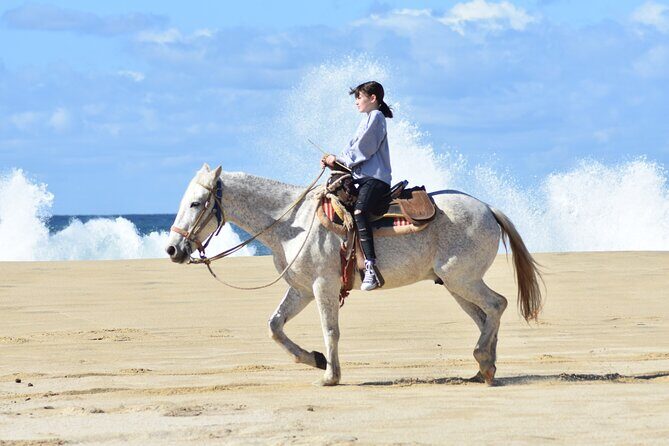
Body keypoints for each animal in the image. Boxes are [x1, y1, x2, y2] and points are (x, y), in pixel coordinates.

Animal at [165, 163, 543, 386]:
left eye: (196, 203)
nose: (172, 249)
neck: (293, 223)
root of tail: (487, 208)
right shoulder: (301, 289)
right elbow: (274, 326)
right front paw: (314, 360)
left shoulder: (323, 286)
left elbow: (330, 330)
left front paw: (331, 375)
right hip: (455, 284)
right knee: (484, 316)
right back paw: (484, 368)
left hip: (462, 279)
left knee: (496, 305)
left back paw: (485, 362)